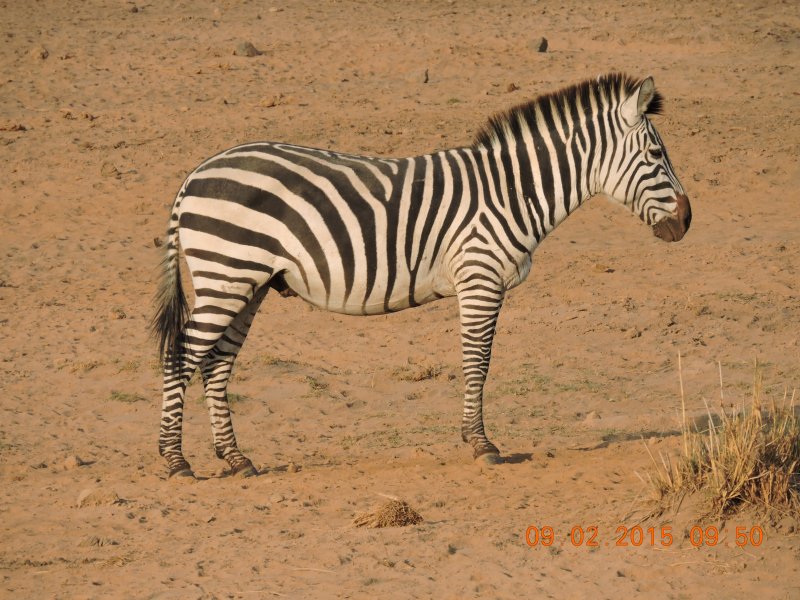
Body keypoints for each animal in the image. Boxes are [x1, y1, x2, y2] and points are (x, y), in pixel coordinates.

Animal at [152, 73, 691, 478]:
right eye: (656, 156)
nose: (687, 221)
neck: (512, 191)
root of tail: (194, 175)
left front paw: (475, 438)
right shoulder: (480, 278)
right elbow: (478, 362)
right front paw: (481, 444)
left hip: (248, 283)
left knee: (217, 362)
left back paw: (235, 458)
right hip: (227, 274)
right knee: (183, 354)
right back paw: (176, 462)